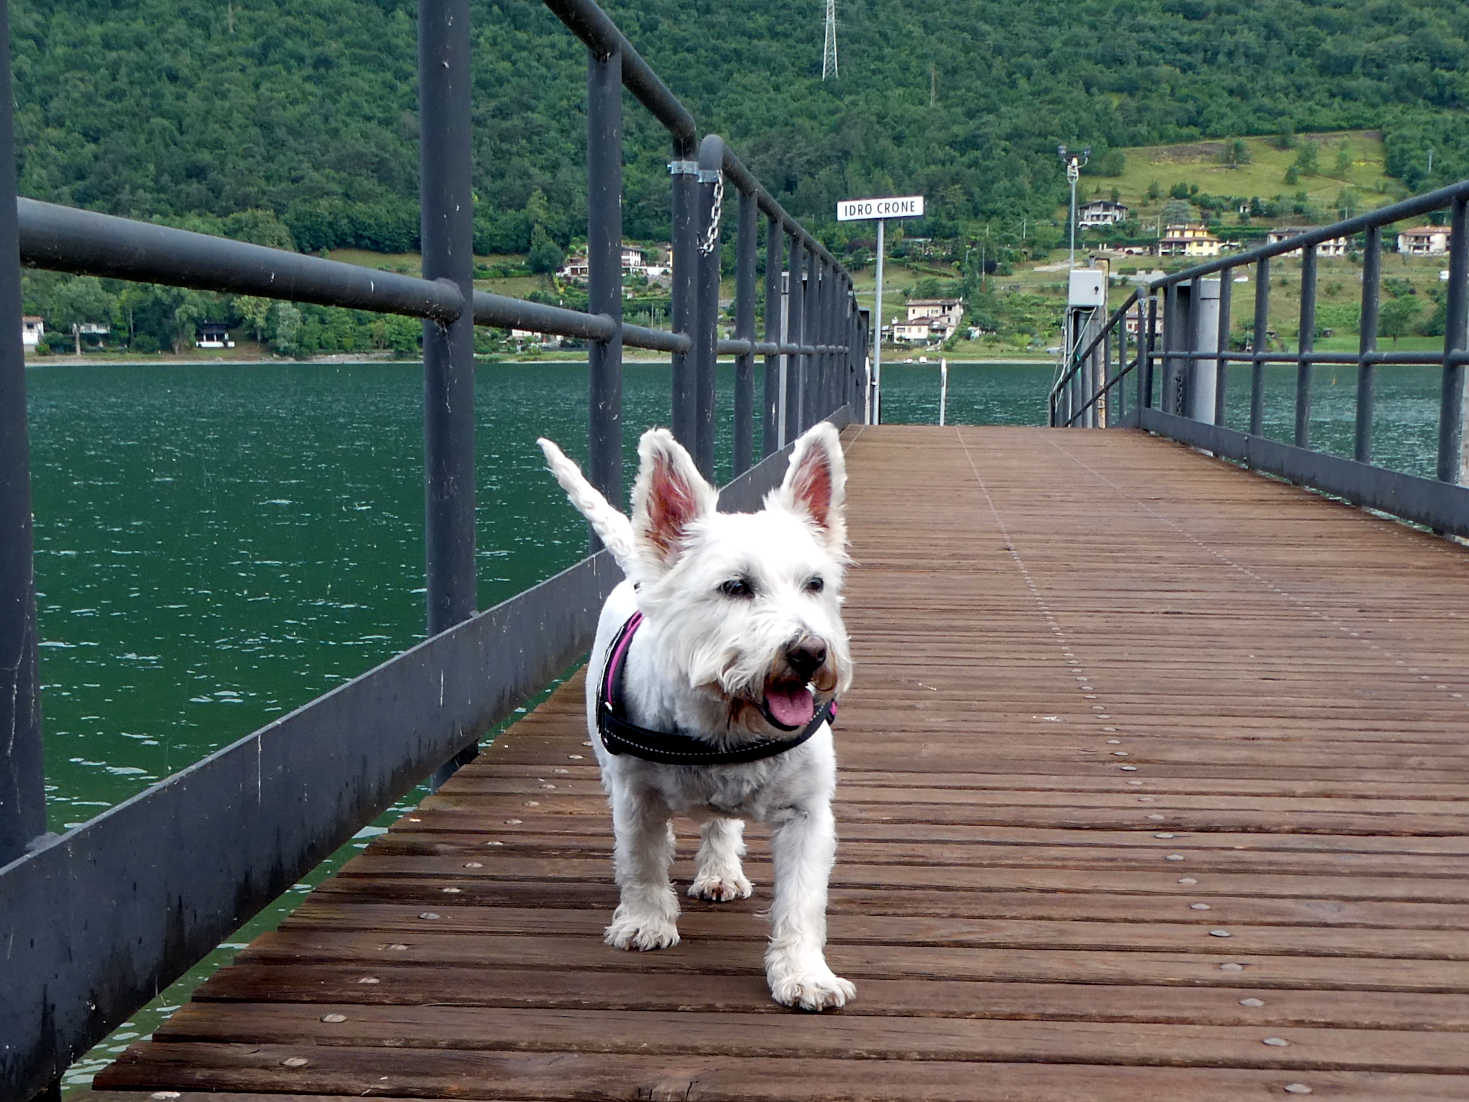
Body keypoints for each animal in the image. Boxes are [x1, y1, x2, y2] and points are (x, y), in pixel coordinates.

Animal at [537, 426, 857, 1016]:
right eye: (735, 586)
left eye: (816, 583)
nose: (810, 652)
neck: (726, 726)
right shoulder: (635, 796)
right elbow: (641, 861)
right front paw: (643, 924)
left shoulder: (808, 814)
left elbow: (801, 901)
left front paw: (805, 976)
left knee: (721, 825)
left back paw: (720, 872)